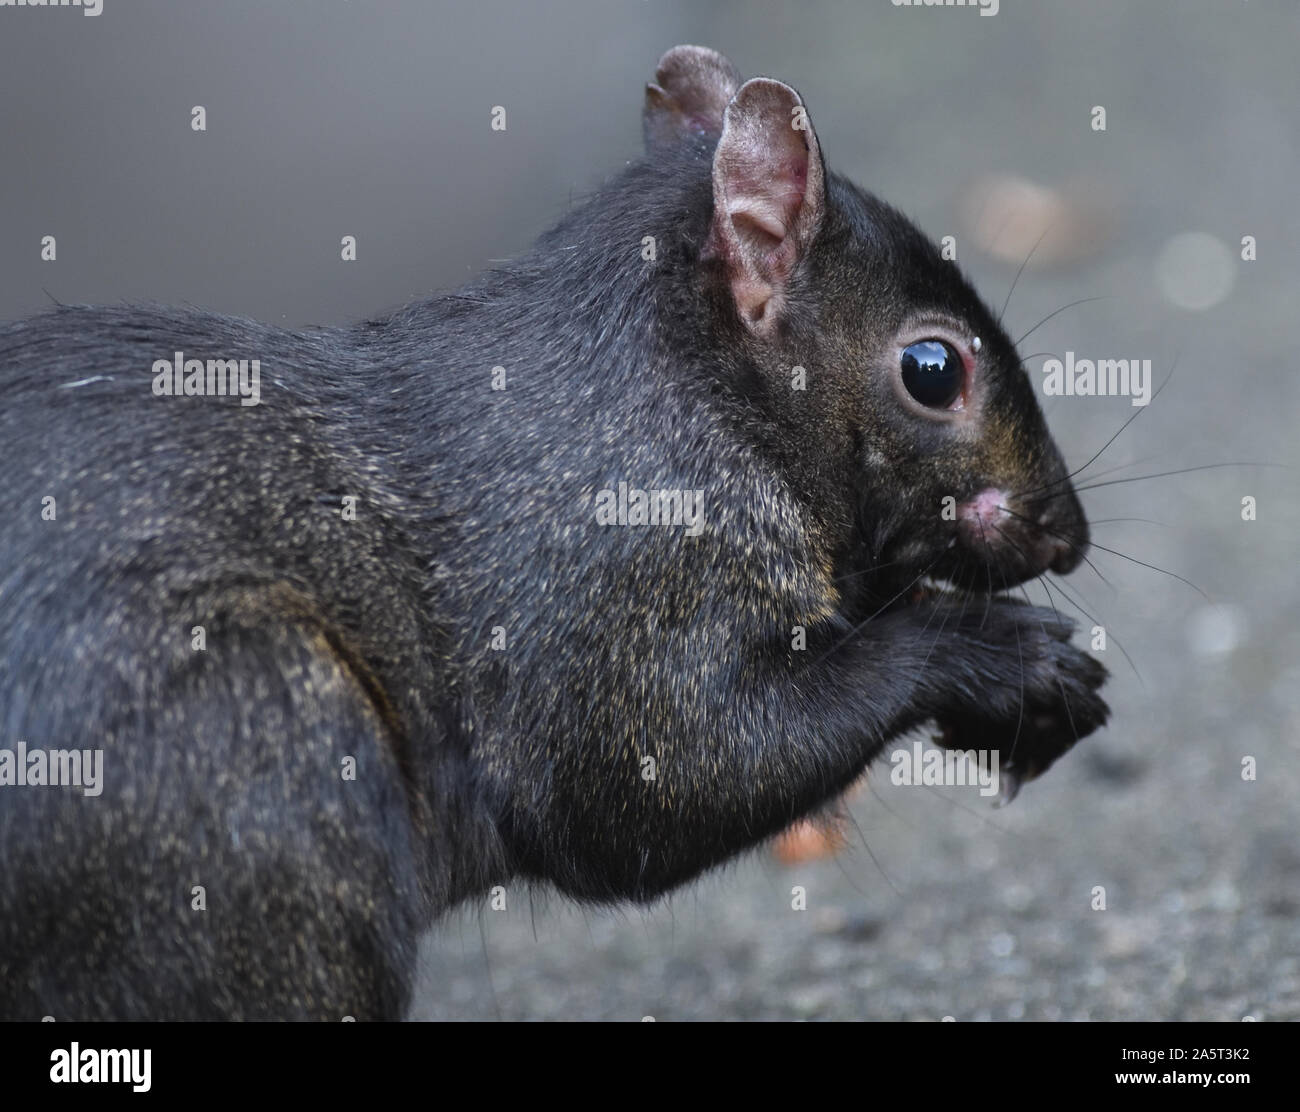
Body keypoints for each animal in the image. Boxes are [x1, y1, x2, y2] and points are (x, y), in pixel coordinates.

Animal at [0, 45, 1107, 1019]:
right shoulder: (617, 590)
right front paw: (996, 653)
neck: (687, 395)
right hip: (256, 767)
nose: (1067, 536)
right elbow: (659, 782)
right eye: (933, 369)